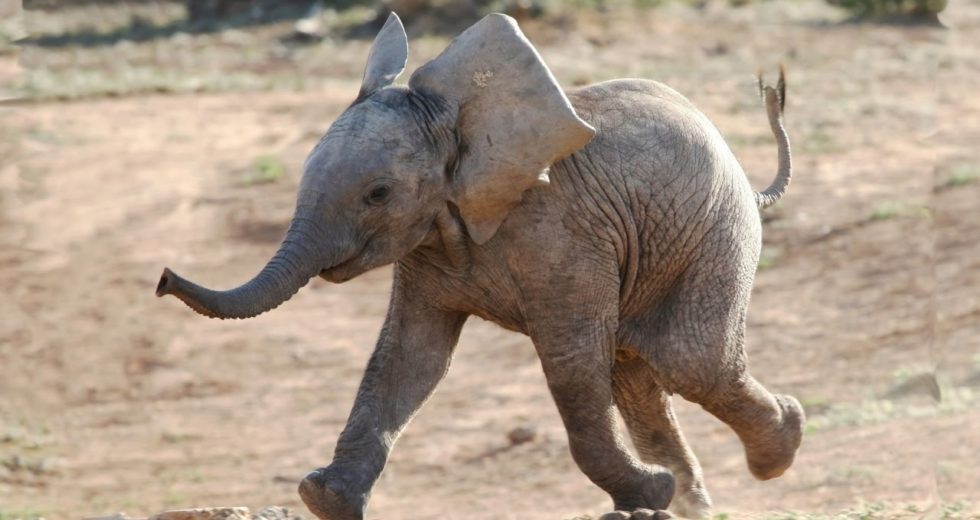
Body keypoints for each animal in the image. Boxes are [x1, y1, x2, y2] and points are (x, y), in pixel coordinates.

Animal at [155, 12, 804, 520]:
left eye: (378, 194)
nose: (162, 280)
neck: (458, 125)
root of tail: (749, 182)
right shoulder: (428, 245)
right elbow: (409, 358)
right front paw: (324, 499)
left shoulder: (562, 236)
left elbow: (571, 363)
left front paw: (651, 494)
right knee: (638, 371)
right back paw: (692, 501)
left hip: (715, 232)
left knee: (688, 360)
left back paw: (779, 448)